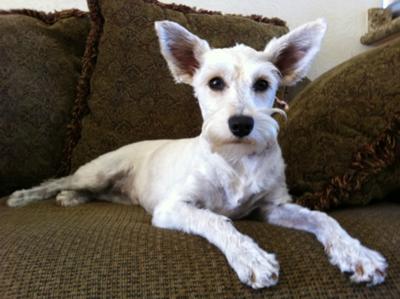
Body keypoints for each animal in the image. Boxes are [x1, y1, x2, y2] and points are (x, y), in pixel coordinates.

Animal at [7, 19, 388, 290]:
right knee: (57, 181)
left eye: (263, 84)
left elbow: (323, 218)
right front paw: (251, 257)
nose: (241, 123)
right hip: (97, 172)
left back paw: (71, 199)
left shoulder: (273, 207)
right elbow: (216, 220)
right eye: (215, 83)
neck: (236, 159)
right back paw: (28, 195)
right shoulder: (173, 207)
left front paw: (357, 254)